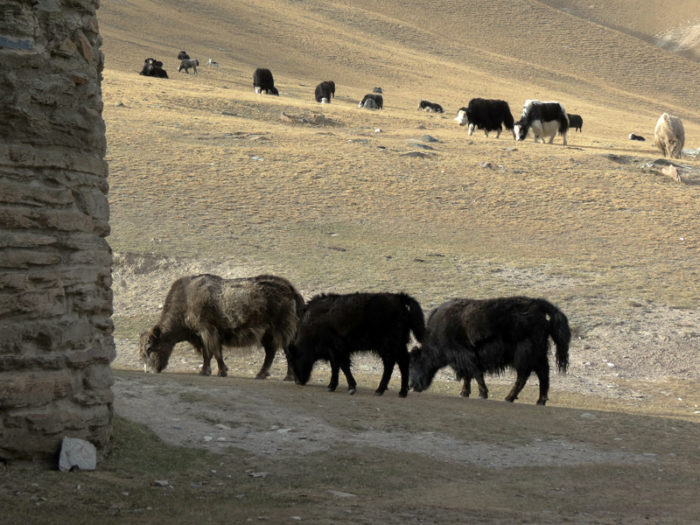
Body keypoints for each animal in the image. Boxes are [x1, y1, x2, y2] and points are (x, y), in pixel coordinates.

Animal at [141, 272, 304, 378]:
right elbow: (211, 352)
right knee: (270, 352)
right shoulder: (209, 334)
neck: (186, 300)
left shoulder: (207, 330)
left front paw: (216, 372)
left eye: (149, 348)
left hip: (282, 329)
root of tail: (290, 288)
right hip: (268, 333)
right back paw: (261, 374)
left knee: (287, 350)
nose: (149, 371)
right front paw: (210, 371)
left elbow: (212, 352)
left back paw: (289, 376)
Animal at [288, 290, 424, 398]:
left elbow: (340, 366)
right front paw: (342, 386)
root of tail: (399, 298)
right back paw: (395, 391)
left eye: (295, 359)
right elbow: (340, 366)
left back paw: (386, 391)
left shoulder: (336, 348)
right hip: (395, 346)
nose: (298, 382)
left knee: (394, 363)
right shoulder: (338, 351)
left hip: (389, 345)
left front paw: (340, 387)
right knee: (398, 362)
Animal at [410, 294, 568, 406]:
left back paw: (510, 398)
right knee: (542, 375)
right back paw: (539, 400)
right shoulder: (465, 358)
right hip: (538, 354)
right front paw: (465, 393)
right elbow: (469, 376)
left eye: (414, 365)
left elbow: (475, 373)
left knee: (526, 376)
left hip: (526, 355)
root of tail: (538, 305)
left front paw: (482, 394)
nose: (413, 386)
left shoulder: (464, 355)